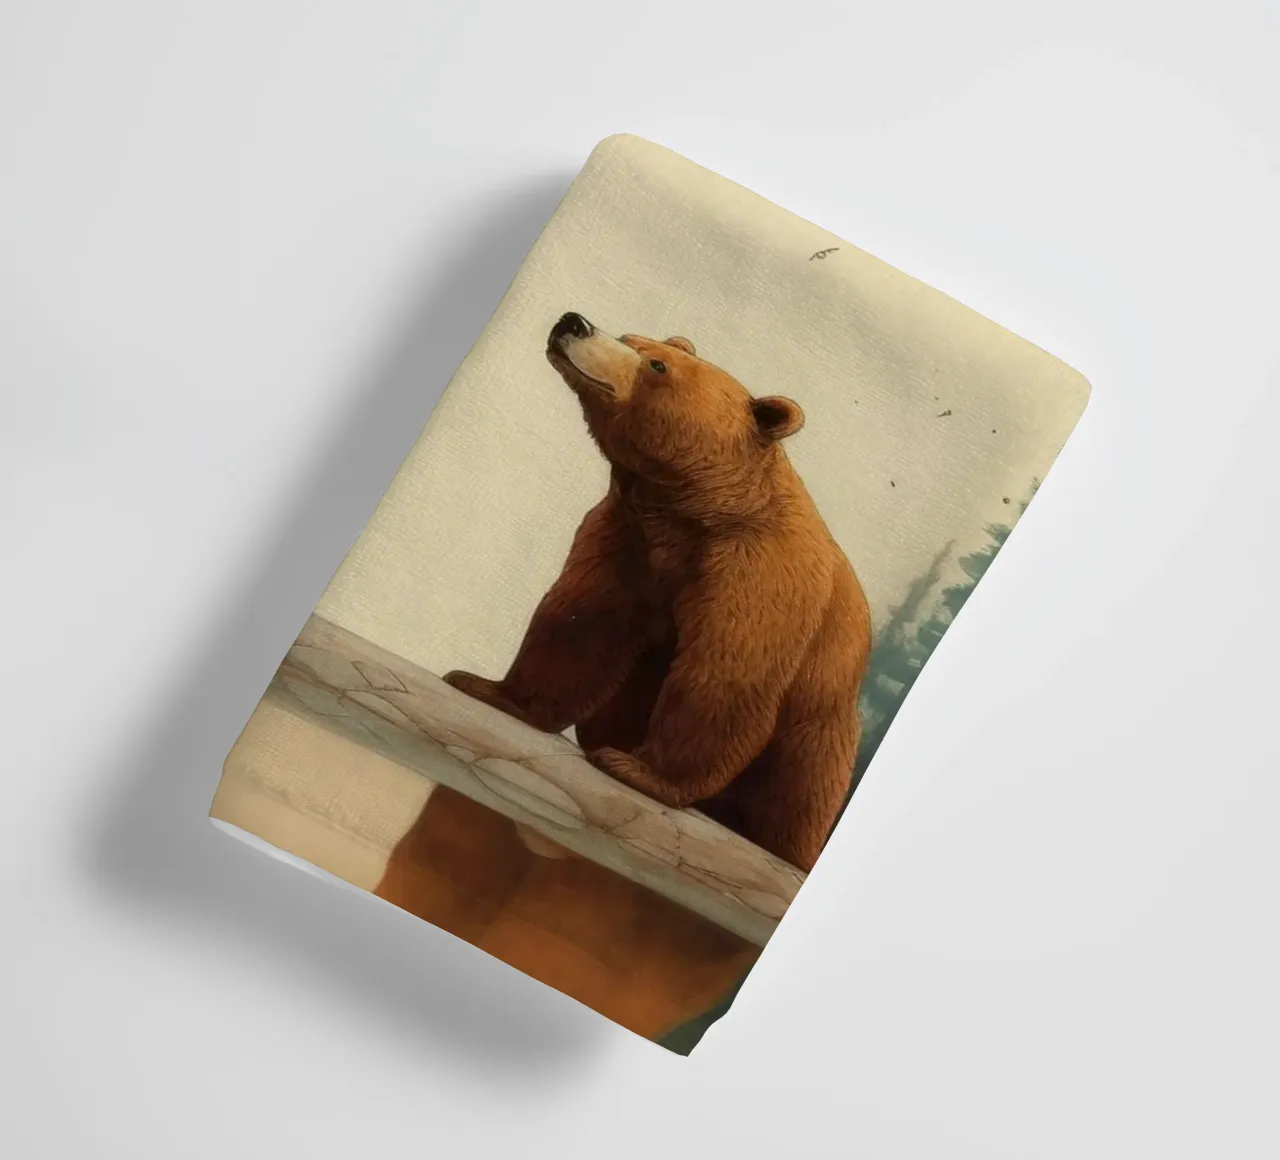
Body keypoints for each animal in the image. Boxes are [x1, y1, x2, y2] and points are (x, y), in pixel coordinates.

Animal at [444, 311, 872, 871]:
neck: (689, 511)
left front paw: (639, 770)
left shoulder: (757, 573)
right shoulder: (626, 540)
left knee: (797, 797)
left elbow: (725, 671)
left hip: (817, 737)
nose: (574, 322)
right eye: (631, 338)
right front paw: (486, 687)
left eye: (656, 366)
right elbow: (580, 623)